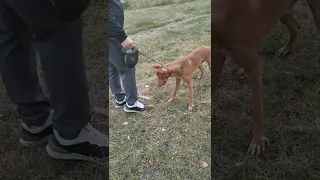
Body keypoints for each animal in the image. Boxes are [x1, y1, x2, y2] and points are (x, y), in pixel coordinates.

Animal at [212, 0, 320, 155]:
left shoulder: (255, 67)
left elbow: (257, 110)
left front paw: (257, 141)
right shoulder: (217, 58)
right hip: (282, 13)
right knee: (296, 27)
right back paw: (287, 48)